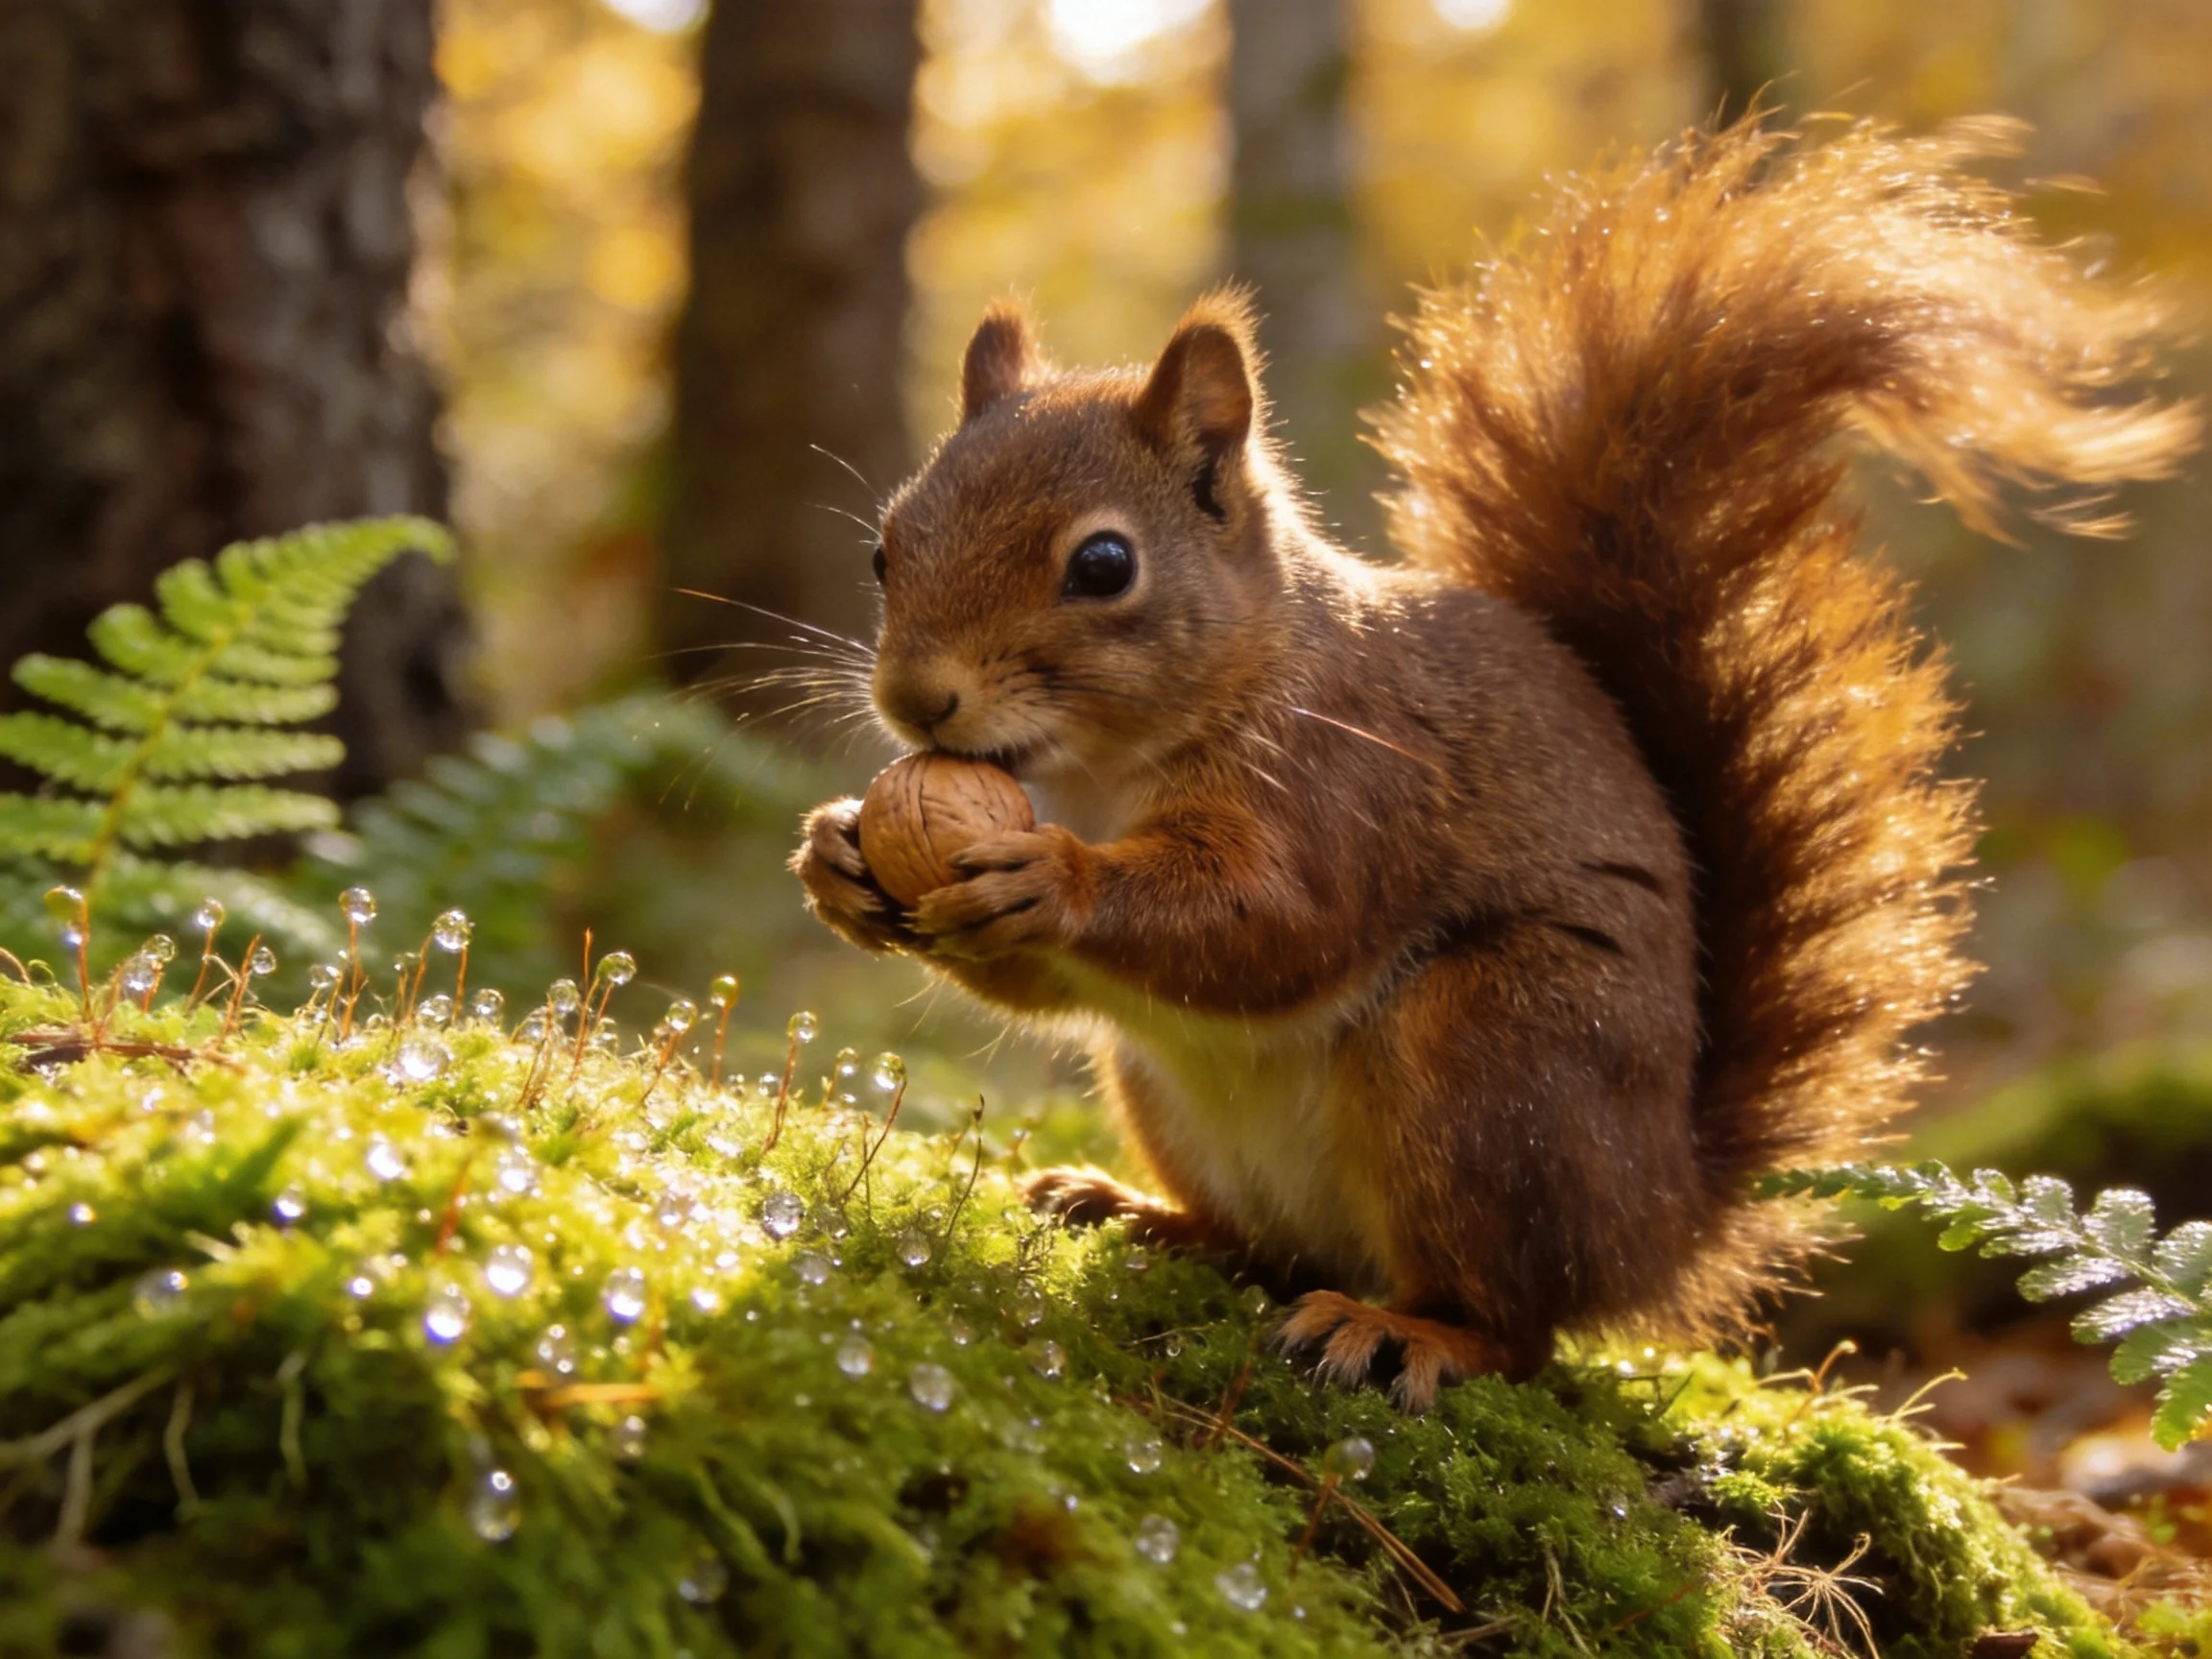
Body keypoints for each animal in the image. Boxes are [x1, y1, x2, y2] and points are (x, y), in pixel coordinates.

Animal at [792, 116, 2197, 1408]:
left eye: (1102, 565)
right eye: (884, 546)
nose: (917, 701)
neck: (1098, 771)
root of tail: (1663, 1215)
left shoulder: (1353, 780)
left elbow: (1277, 922)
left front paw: (1054, 880)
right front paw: (835, 860)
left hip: (1495, 1061)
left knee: (1518, 1326)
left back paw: (1409, 1331)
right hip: (1175, 1087)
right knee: (1263, 1248)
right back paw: (1141, 1212)